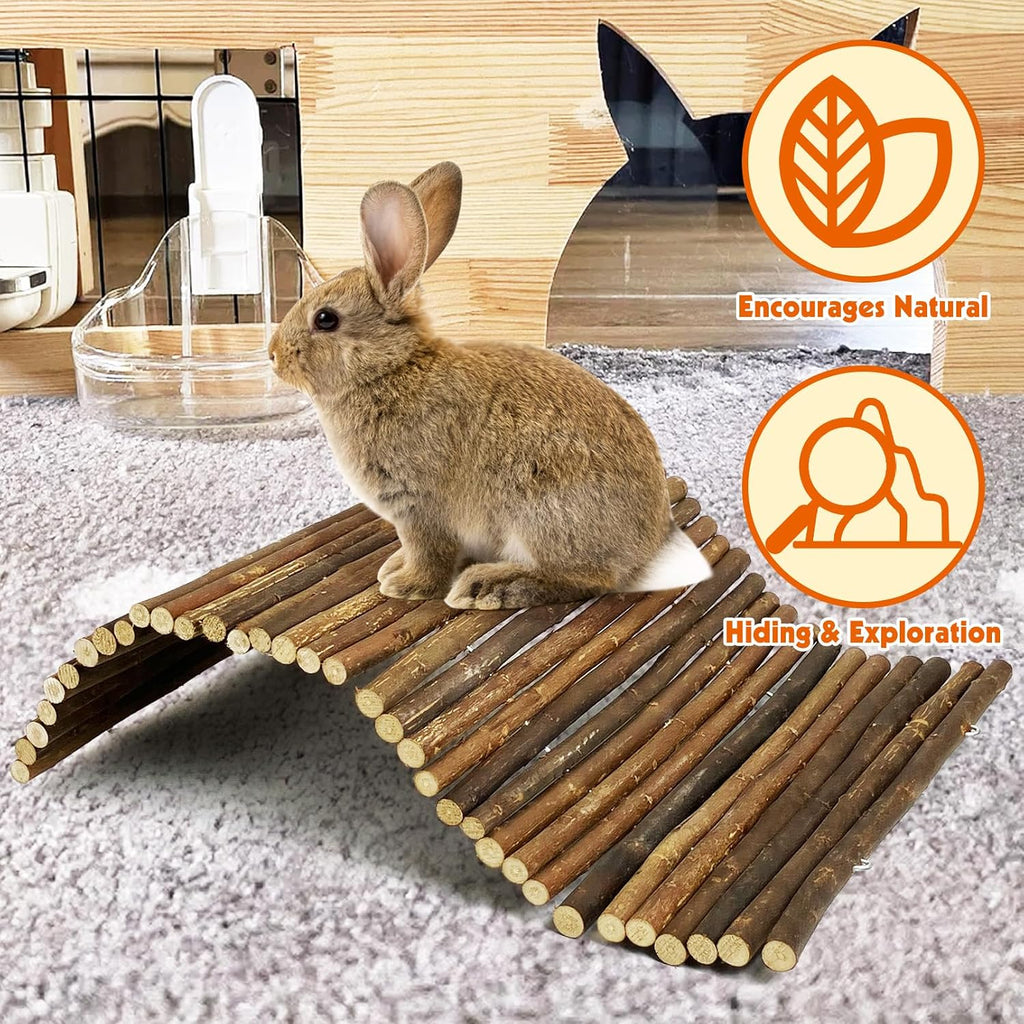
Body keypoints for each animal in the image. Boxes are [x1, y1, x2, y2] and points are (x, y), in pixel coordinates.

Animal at [268, 161, 711, 610]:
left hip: (541, 515)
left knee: (587, 578)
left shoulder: (421, 508)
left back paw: (486, 587)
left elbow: (428, 553)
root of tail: (648, 547)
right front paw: (392, 568)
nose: (272, 355)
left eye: (326, 319)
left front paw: (405, 585)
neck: (391, 368)